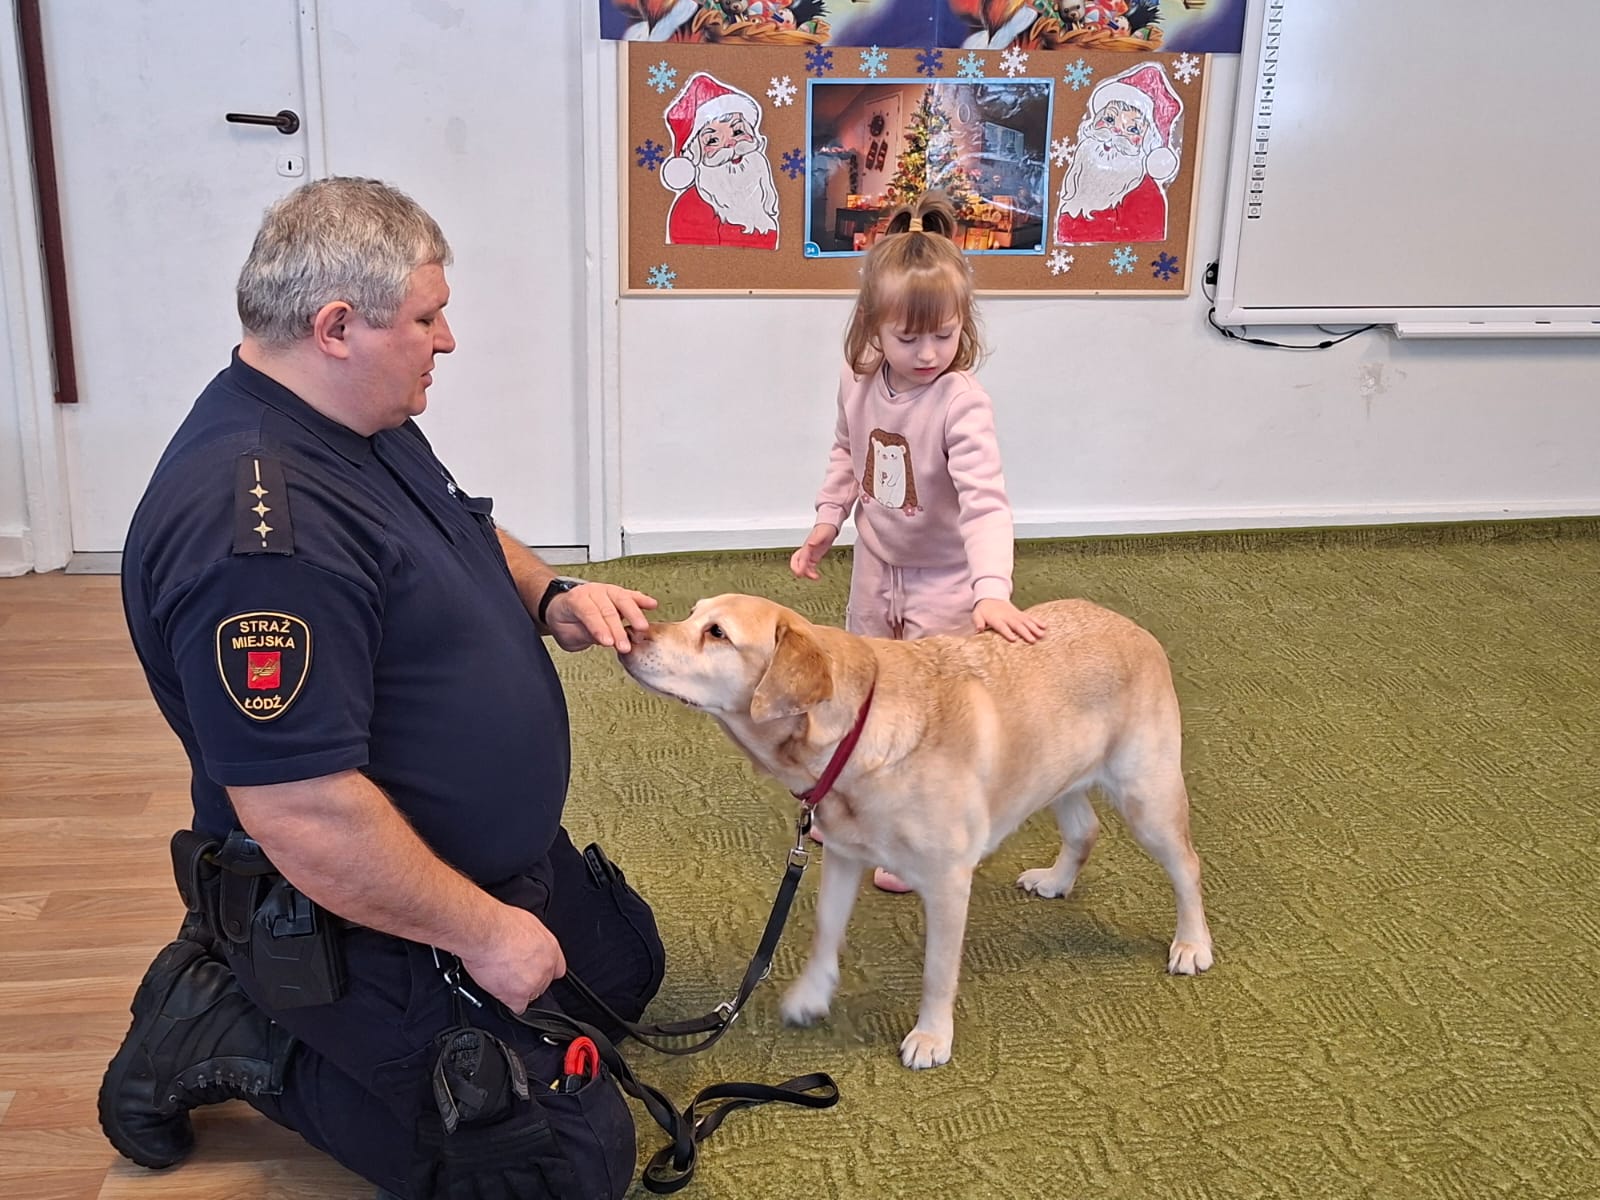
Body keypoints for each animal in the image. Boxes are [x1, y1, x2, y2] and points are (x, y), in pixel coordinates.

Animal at [618, 594, 1213, 1068]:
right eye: (692, 615)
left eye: (716, 633)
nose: (629, 630)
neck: (853, 733)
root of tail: (1131, 626)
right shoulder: (843, 854)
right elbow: (825, 930)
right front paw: (811, 993)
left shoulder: (948, 881)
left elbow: (936, 971)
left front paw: (931, 1037)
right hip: (1057, 773)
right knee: (1085, 829)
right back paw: (1056, 879)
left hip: (1146, 794)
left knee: (1187, 864)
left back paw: (1191, 943)